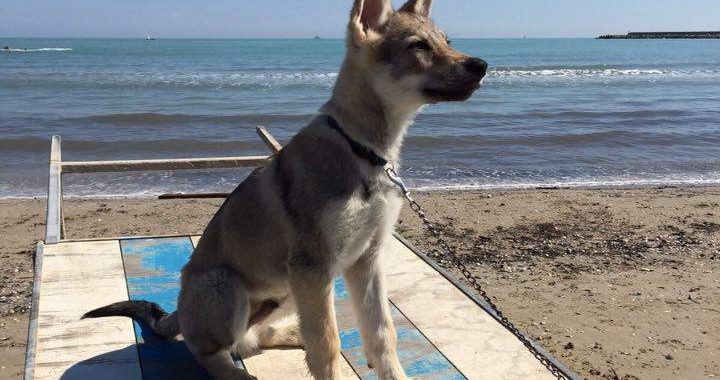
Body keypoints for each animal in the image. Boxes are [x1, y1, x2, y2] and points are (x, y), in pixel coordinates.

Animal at [86, 1, 490, 378]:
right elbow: (328, 344)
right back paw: (237, 374)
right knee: (207, 350)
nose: (483, 65)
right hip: (230, 286)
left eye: (447, 42)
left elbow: (382, 334)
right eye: (418, 46)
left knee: (251, 339)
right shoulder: (314, 266)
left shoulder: (366, 260)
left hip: (287, 292)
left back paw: (291, 334)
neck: (363, 151)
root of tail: (180, 310)